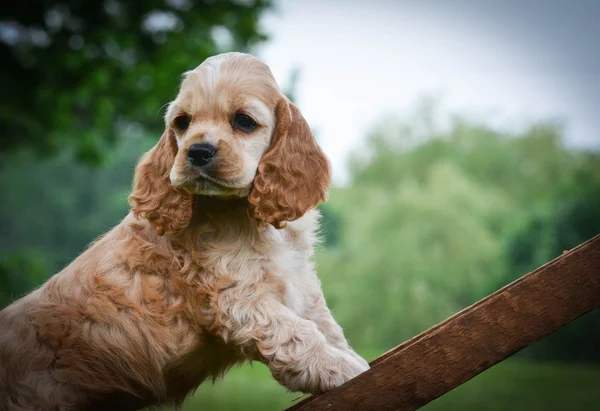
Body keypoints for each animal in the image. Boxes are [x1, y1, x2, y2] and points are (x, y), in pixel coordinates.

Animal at [0, 52, 368, 411]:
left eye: (244, 121)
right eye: (182, 123)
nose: (197, 151)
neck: (245, 216)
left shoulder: (298, 281)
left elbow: (325, 325)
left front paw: (350, 358)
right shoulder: (237, 299)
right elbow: (298, 332)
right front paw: (342, 368)